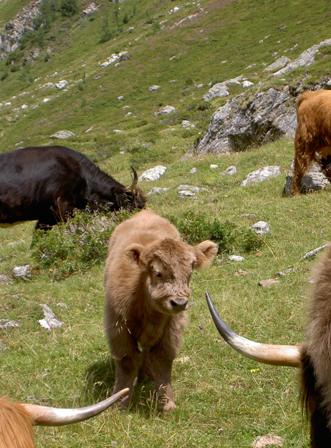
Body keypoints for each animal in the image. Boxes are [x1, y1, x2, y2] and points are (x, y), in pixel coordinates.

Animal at [104, 209, 218, 410]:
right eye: (158, 273)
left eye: (189, 274)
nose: (179, 303)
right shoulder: (117, 327)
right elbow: (127, 361)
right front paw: (120, 402)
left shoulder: (171, 329)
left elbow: (162, 359)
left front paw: (167, 403)